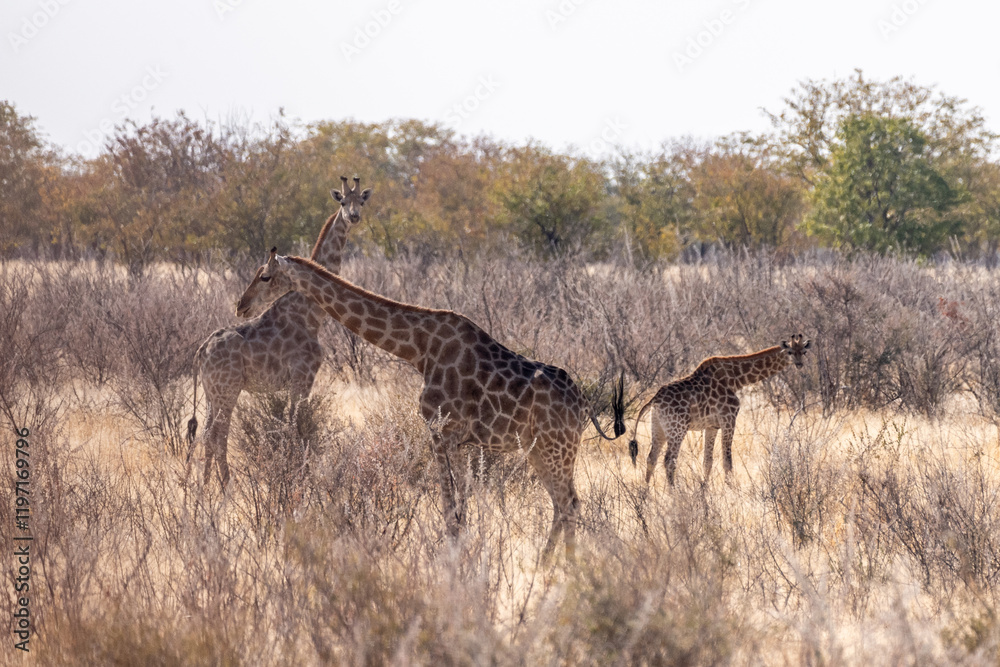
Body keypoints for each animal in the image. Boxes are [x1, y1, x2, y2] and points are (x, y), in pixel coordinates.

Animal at [185, 177, 373, 486]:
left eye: (361, 202)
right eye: (343, 202)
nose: (354, 217)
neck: (310, 313)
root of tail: (201, 351)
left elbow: (290, 425)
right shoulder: (302, 378)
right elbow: (296, 427)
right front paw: (296, 476)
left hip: (212, 393)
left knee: (205, 434)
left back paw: (203, 488)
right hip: (227, 390)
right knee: (216, 435)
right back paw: (226, 487)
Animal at [235, 249, 626, 558]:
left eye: (265, 276)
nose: (240, 306)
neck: (418, 349)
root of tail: (583, 403)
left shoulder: (440, 432)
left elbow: (450, 511)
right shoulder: (462, 443)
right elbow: (460, 508)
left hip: (555, 446)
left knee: (568, 503)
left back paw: (564, 569)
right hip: (540, 449)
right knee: (565, 503)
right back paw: (553, 566)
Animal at [628, 335, 811, 487]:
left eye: (803, 352)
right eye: (789, 351)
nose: (800, 364)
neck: (736, 379)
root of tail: (654, 399)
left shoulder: (712, 425)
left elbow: (707, 461)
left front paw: (704, 489)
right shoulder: (729, 419)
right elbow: (727, 461)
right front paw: (731, 490)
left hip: (658, 427)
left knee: (651, 458)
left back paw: (645, 493)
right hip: (677, 429)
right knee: (668, 460)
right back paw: (674, 493)